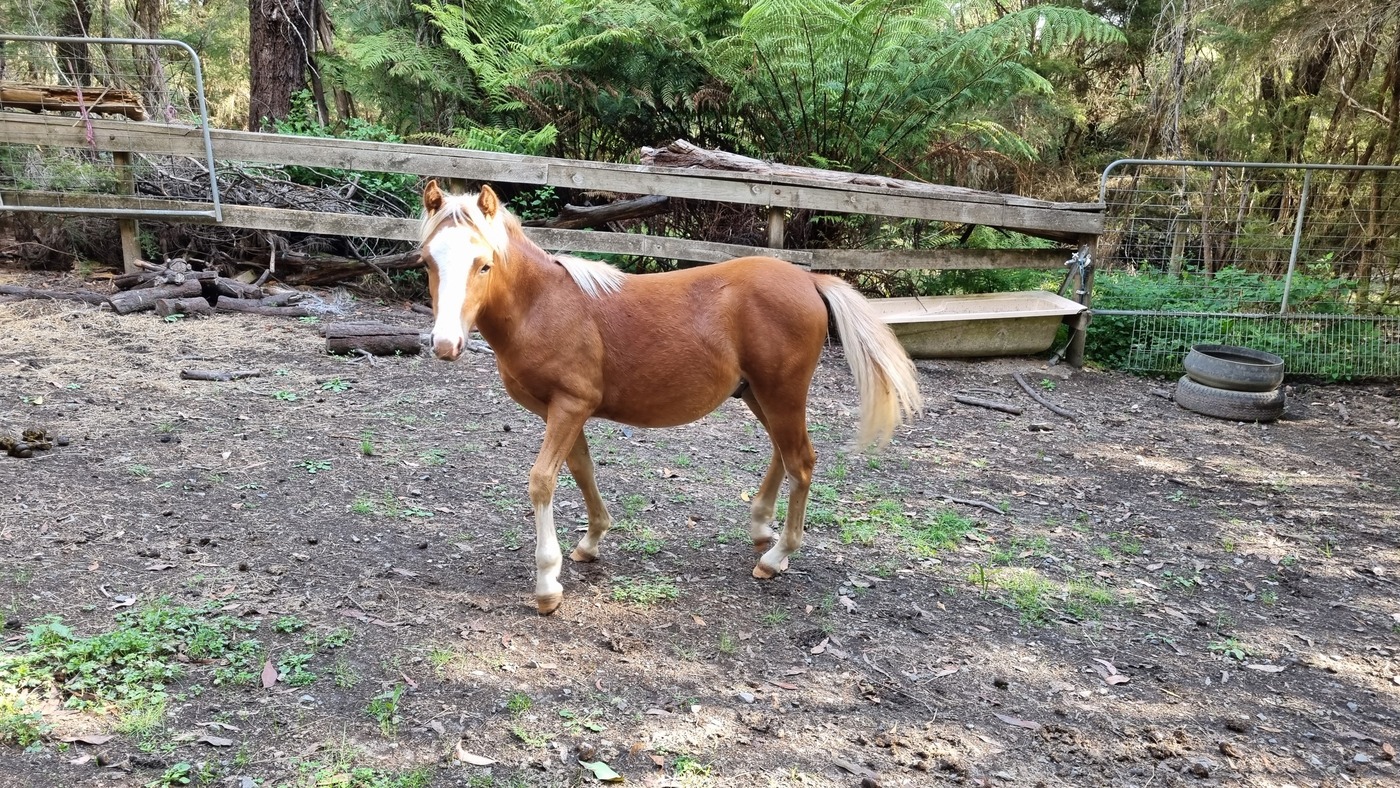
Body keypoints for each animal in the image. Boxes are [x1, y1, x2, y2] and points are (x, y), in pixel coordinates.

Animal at [418, 180, 923, 615]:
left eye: (484, 264)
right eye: (427, 262)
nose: (445, 345)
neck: (542, 305)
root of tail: (810, 279)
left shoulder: (569, 406)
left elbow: (542, 481)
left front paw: (547, 584)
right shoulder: (563, 411)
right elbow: (582, 469)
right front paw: (590, 543)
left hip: (781, 393)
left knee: (801, 462)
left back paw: (775, 557)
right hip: (758, 395)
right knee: (785, 452)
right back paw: (763, 530)